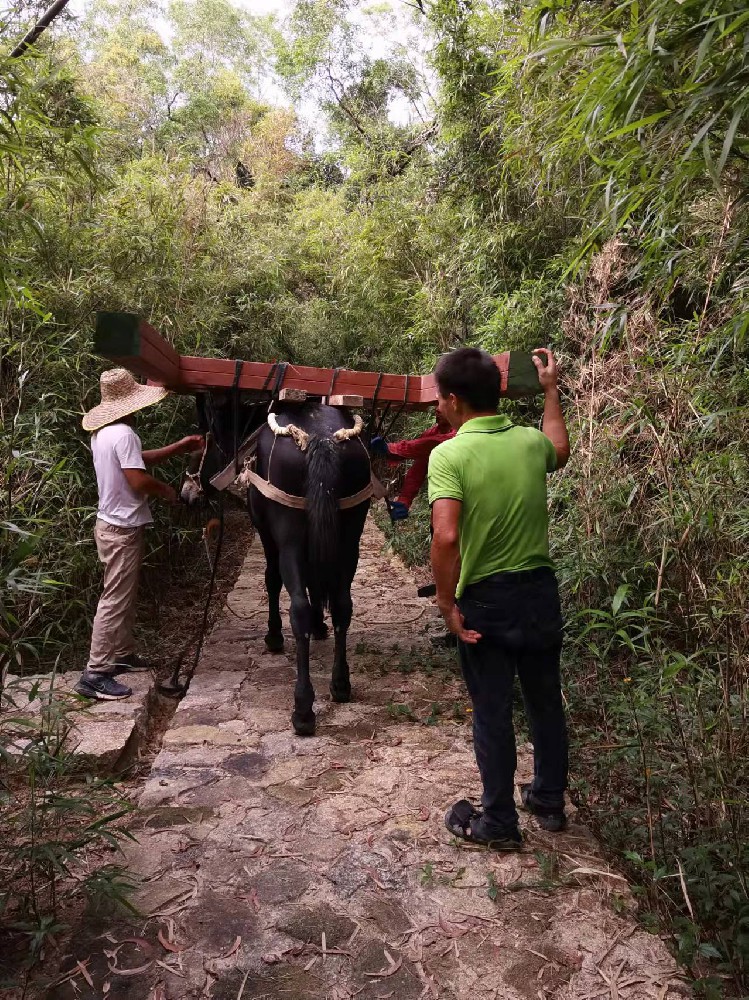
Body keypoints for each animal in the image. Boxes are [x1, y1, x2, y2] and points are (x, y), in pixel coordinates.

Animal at [180, 396, 370, 736]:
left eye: (199, 444)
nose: (185, 494)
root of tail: (322, 438)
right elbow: (314, 584)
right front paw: (320, 627)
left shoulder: (268, 534)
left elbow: (271, 580)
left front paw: (274, 635)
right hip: (350, 536)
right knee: (342, 605)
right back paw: (340, 683)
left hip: (291, 538)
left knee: (297, 608)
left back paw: (303, 710)